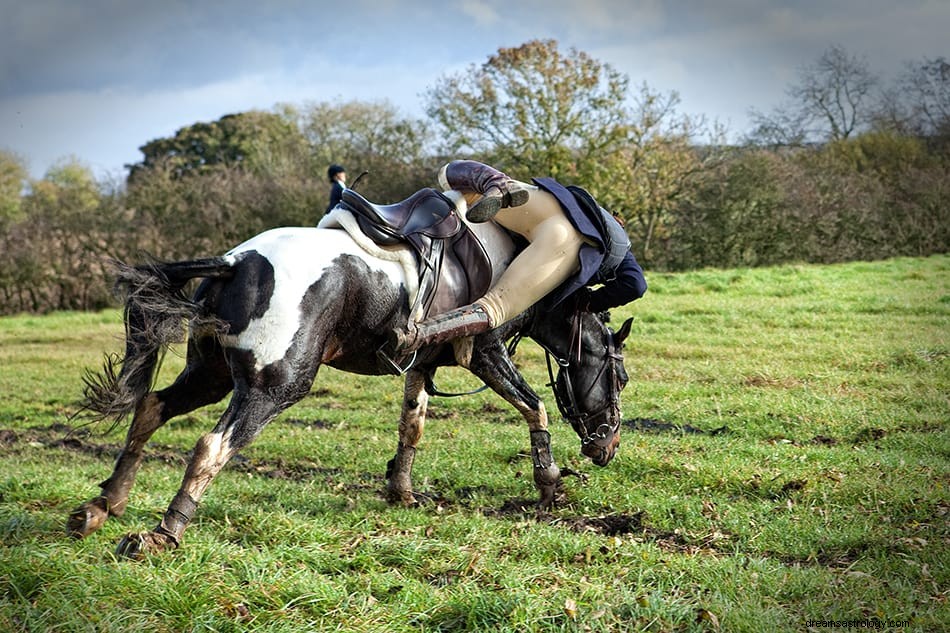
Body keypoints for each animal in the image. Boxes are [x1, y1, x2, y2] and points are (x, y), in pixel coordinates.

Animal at [67, 193, 632, 556]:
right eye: (621, 379)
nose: (607, 448)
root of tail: (237, 261)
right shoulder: (486, 354)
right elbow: (534, 405)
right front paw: (549, 483)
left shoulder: (420, 365)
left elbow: (412, 427)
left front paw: (401, 491)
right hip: (275, 386)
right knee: (210, 445)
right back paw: (163, 535)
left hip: (211, 374)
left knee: (151, 407)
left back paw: (105, 504)